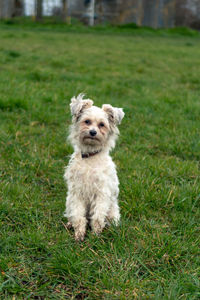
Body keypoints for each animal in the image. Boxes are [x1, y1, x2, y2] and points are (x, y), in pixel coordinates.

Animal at [63, 94, 124, 241]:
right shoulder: (77, 193)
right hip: (68, 201)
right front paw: (79, 234)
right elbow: (78, 216)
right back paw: (69, 224)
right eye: (87, 121)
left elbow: (97, 217)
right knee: (71, 215)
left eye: (102, 124)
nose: (92, 132)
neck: (90, 157)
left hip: (112, 210)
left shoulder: (102, 193)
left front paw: (96, 234)